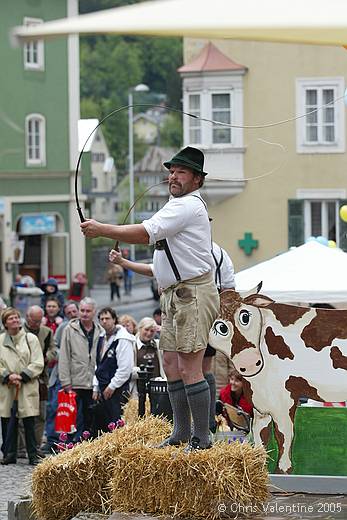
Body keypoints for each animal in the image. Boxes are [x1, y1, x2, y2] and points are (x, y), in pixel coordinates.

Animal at [209, 286, 347, 474]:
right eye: (220, 327)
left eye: (245, 316)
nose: (249, 363)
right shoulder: (261, 405)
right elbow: (261, 437)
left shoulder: (283, 400)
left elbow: (284, 435)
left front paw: (283, 471)